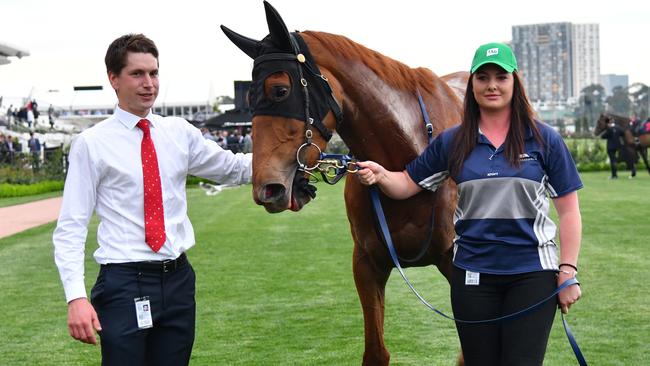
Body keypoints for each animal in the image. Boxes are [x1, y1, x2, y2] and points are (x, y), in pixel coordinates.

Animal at [223, 2, 466, 364]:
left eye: (280, 90)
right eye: (249, 99)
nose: (267, 188)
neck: (409, 161)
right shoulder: (367, 262)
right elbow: (376, 352)